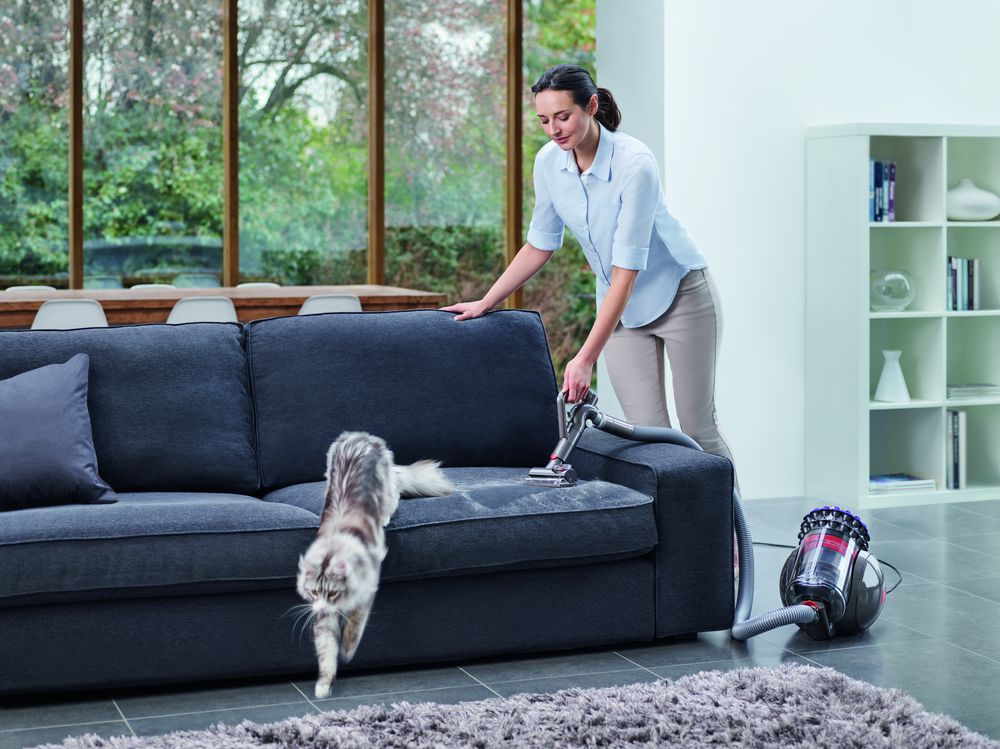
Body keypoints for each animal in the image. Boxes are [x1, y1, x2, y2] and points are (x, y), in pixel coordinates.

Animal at [296, 430, 454, 700]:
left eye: (333, 593)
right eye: (314, 592)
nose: (320, 607)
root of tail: (359, 436)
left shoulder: (366, 591)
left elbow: (354, 626)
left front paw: (347, 649)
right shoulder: (324, 618)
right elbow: (326, 651)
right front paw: (324, 684)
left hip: (386, 489)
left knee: (395, 494)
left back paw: (386, 517)